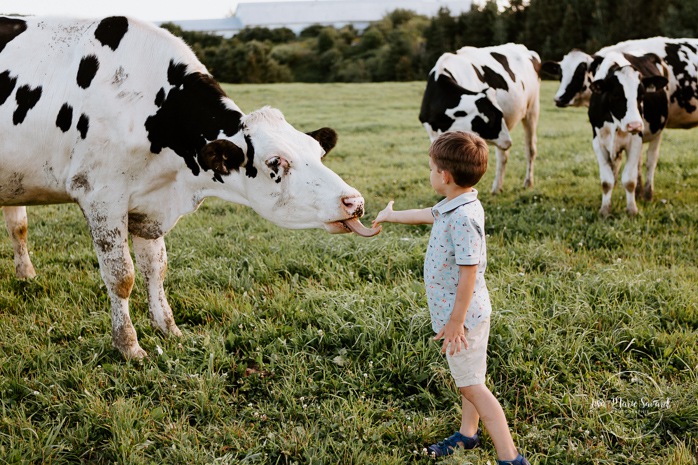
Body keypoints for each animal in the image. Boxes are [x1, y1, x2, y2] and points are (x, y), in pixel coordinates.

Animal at [0, 13, 378, 356]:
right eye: (275, 162)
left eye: (318, 152)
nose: (353, 201)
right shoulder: (100, 196)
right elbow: (122, 277)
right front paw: (129, 346)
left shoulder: (149, 205)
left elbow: (156, 269)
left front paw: (168, 329)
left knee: (18, 225)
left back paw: (26, 274)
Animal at [416, 43, 540, 194]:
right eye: (491, 119)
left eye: (500, 114)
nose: (508, 141)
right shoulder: (433, 135)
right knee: (503, 156)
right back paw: (497, 188)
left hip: (532, 110)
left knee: (530, 149)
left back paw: (528, 182)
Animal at [588, 49, 668, 217]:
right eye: (616, 95)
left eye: (642, 95)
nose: (635, 125)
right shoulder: (597, 142)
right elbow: (607, 181)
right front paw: (605, 210)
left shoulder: (636, 140)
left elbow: (629, 180)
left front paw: (632, 210)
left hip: (657, 134)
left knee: (651, 161)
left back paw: (647, 194)